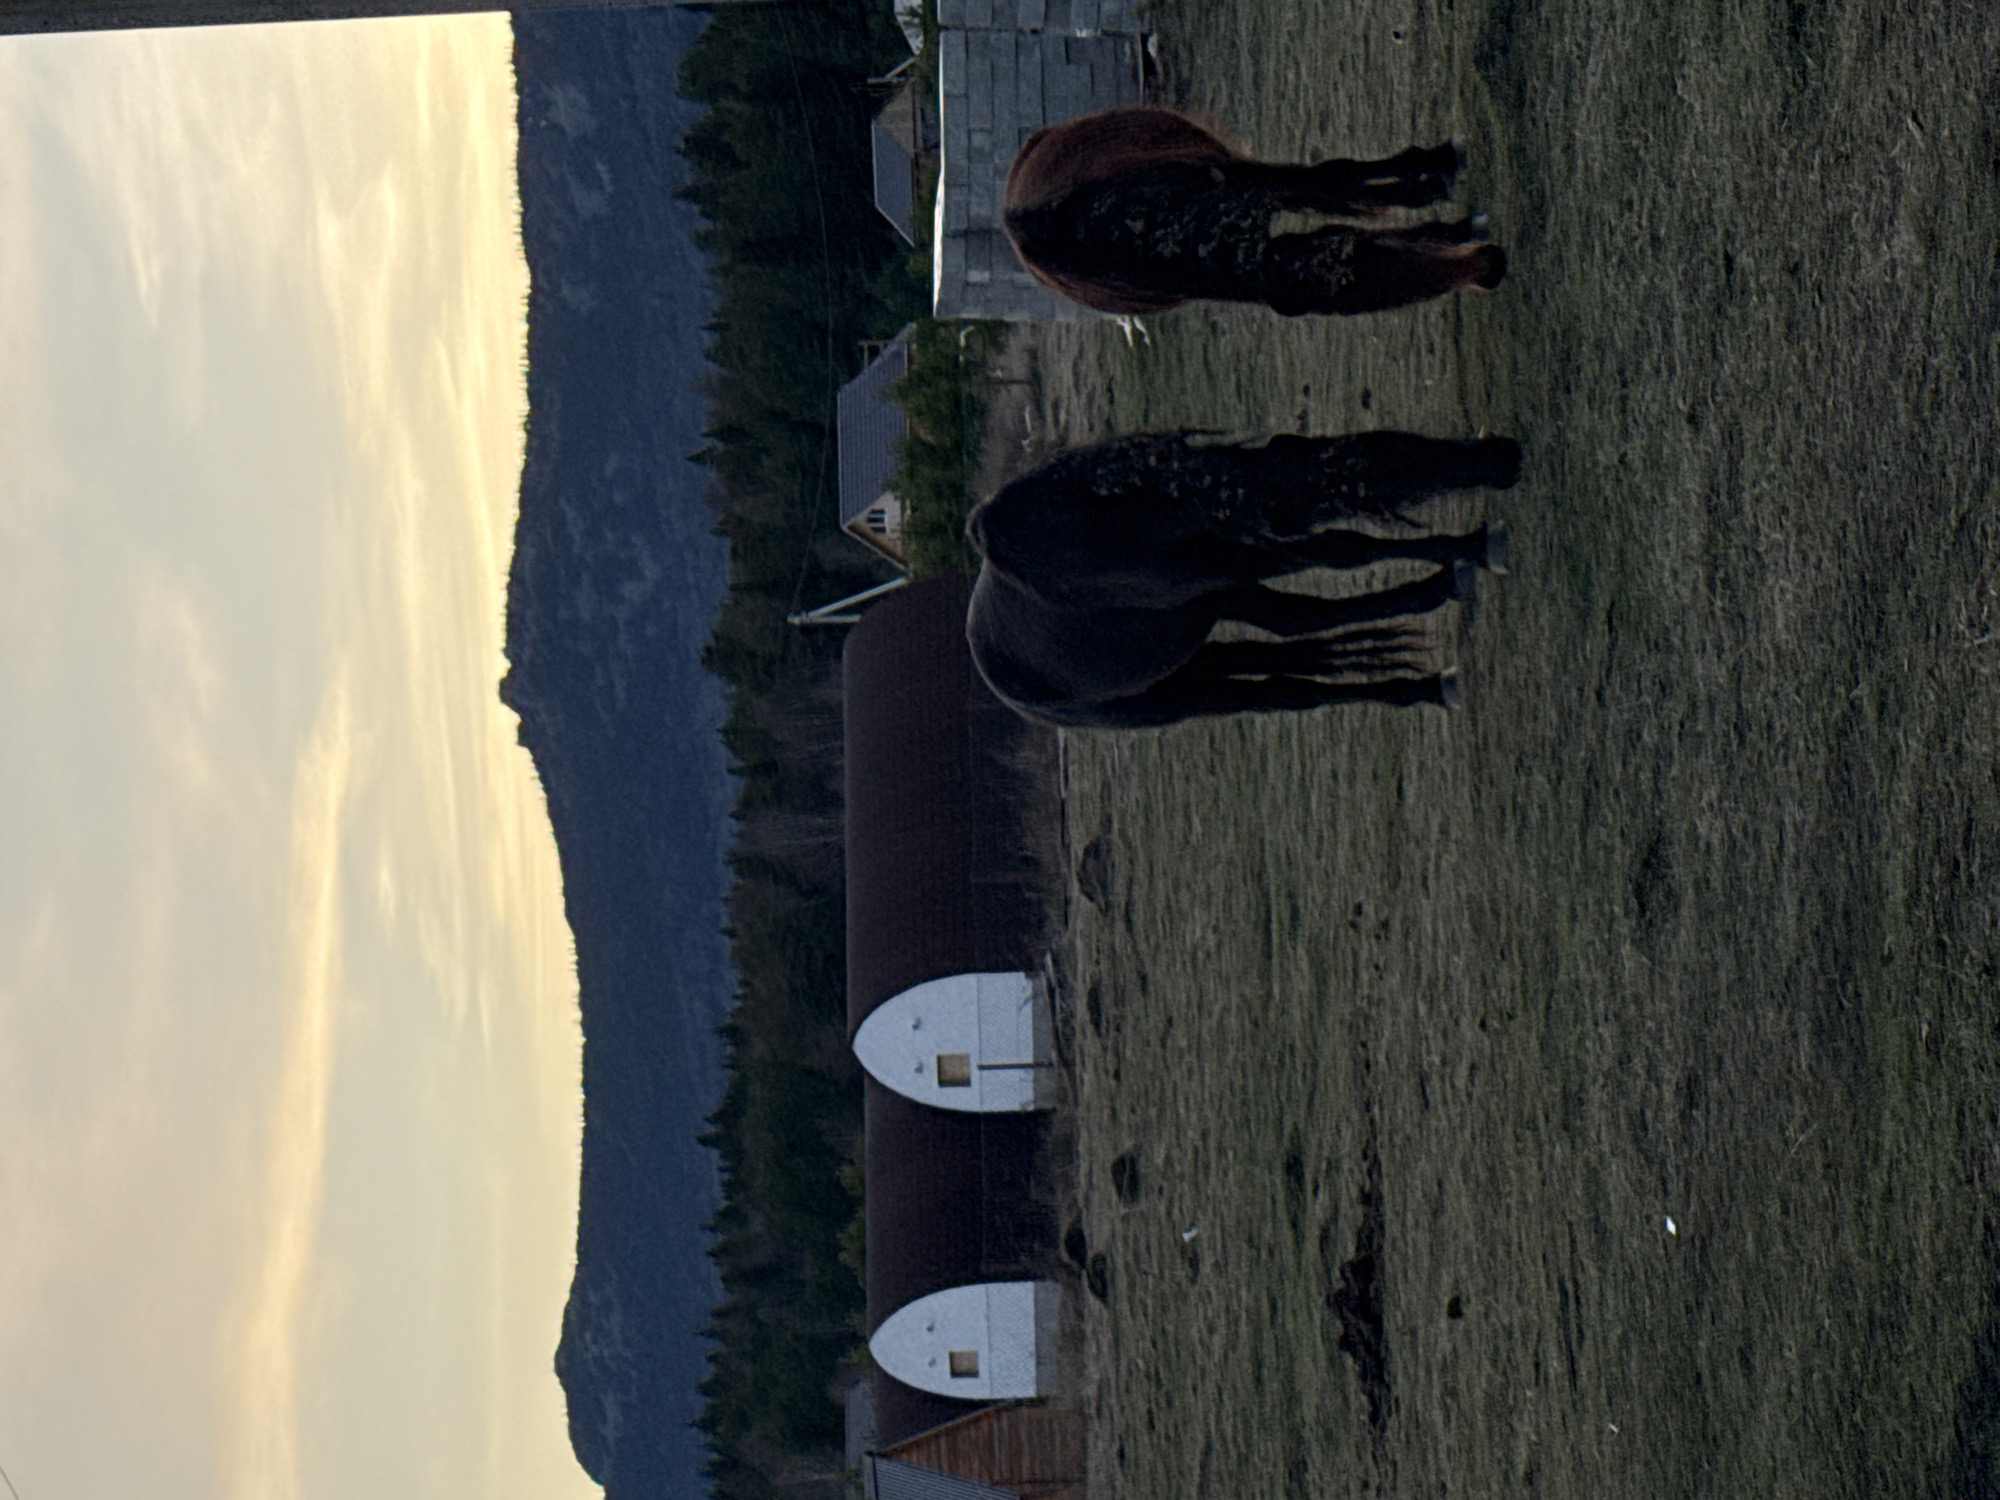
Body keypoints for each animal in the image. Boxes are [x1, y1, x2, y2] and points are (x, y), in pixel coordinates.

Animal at [965, 431, 1522, 729]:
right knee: (1285, 689)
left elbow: (1337, 552)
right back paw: (1427, 675)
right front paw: (1472, 549)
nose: (1505, 456)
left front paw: (1467, 554)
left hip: (1202, 625)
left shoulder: (1223, 568)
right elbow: (1345, 550)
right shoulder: (1227, 563)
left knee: (1295, 624)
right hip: (1179, 694)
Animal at [1002, 106, 1505, 317]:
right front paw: (1447, 209)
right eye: (1382, 277)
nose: (1490, 269)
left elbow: (1335, 181)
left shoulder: (1253, 184)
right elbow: (1336, 188)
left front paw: (1439, 177)